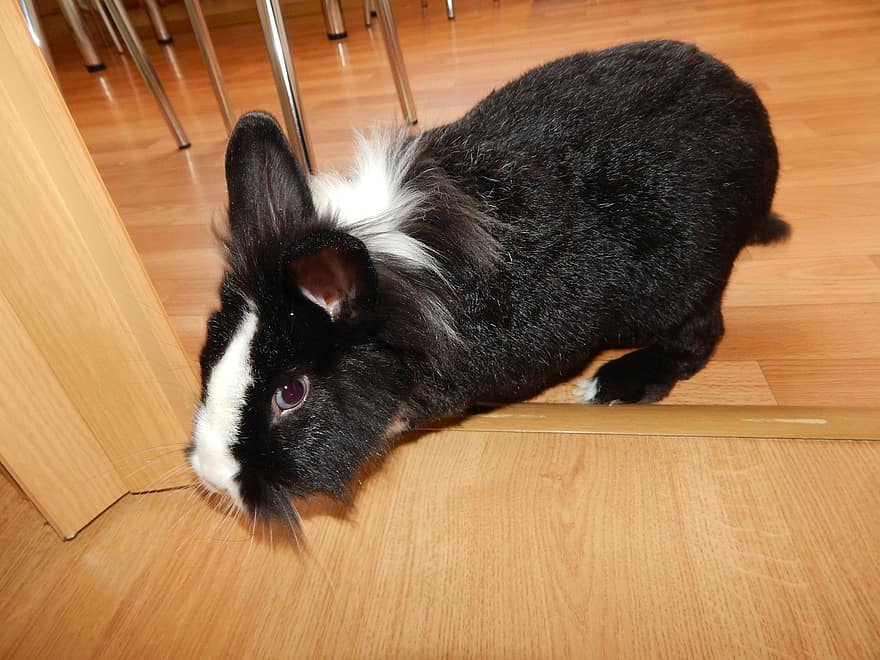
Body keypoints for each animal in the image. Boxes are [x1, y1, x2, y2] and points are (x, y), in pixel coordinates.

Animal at [188, 40, 789, 516]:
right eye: (208, 352)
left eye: (291, 393)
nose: (212, 477)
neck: (403, 298)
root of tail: (751, 111)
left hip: (680, 281)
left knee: (698, 336)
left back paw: (614, 385)